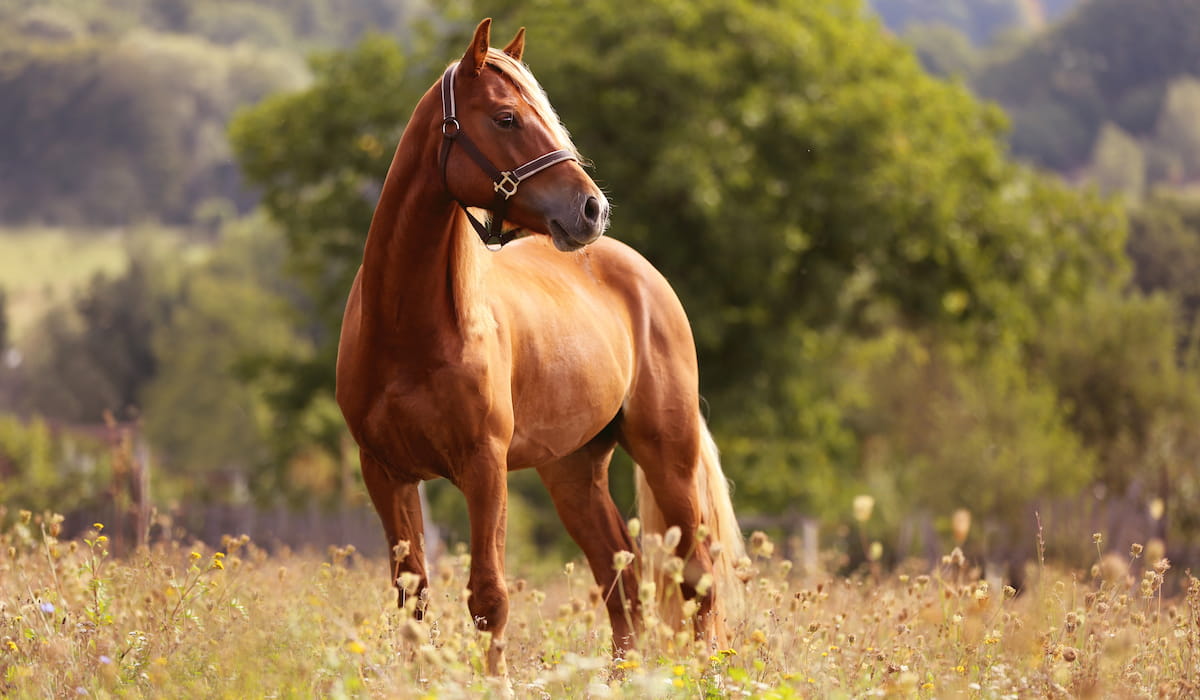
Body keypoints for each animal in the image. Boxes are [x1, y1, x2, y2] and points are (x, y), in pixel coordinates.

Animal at [335, 18, 745, 675]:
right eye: (506, 118)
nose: (592, 208)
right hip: (573, 470)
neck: (408, 330)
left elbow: (488, 597)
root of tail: (643, 275)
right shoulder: (385, 472)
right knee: (621, 581)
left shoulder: (483, 466)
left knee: (695, 577)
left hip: (668, 455)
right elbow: (412, 600)